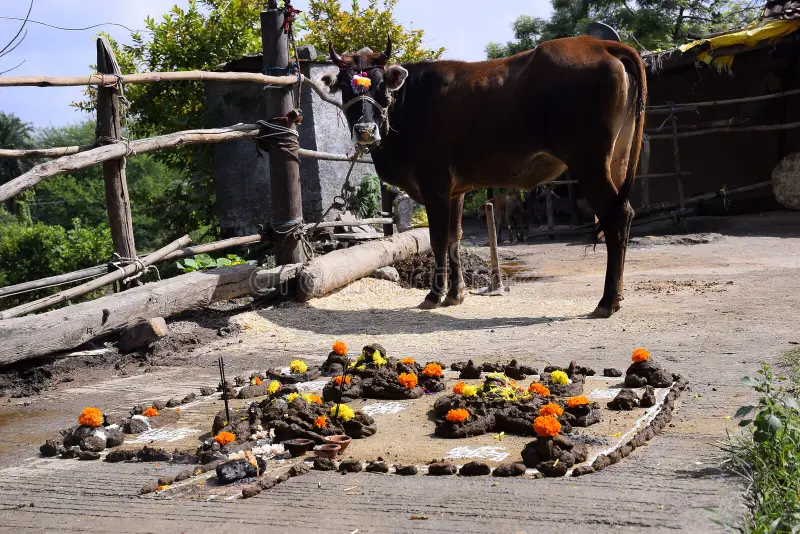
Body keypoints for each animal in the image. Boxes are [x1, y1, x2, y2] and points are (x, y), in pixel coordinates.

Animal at [318, 36, 644, 318]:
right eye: (346, 87)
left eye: (380, 86)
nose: (365, 130)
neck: (407, 105)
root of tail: (598, 43)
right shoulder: (455, 190)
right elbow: (455, 238)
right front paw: (455, 294)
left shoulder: (435, 186)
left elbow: (438, 239)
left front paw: (434, 294)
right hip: (616, 160)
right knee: (623, 215)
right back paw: (615, 296)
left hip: (590, 163)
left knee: (617, 217)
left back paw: (607, 301)